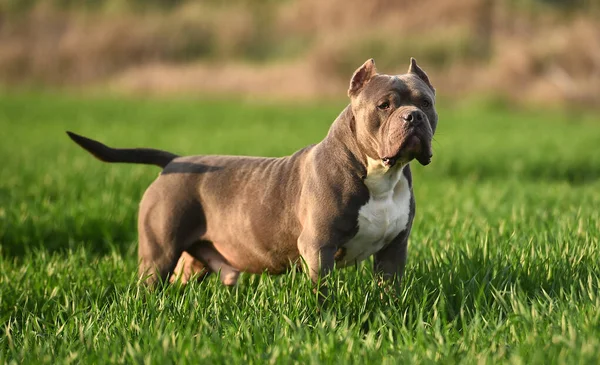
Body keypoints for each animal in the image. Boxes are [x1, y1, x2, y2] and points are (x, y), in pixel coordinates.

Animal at [68, 57, 436, 296]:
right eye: (384, 105)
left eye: (427, 103)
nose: (413, 117)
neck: (381, 175)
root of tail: (174, 161)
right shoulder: (319, 248)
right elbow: (323, 294)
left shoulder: (393, 250)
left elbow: (390, 291)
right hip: (159, 252)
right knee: (149, 282)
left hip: (193, 260)